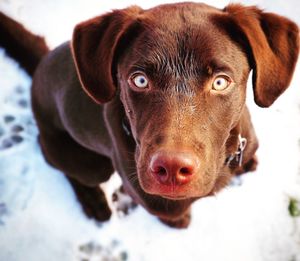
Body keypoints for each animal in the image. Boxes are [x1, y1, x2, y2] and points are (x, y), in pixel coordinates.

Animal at [0, 2, 298, 226]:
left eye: (220, 82)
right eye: (140, 80)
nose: (171, 170)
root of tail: (41, 62)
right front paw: (178, 223)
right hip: (88, 163)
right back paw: (93, 201)